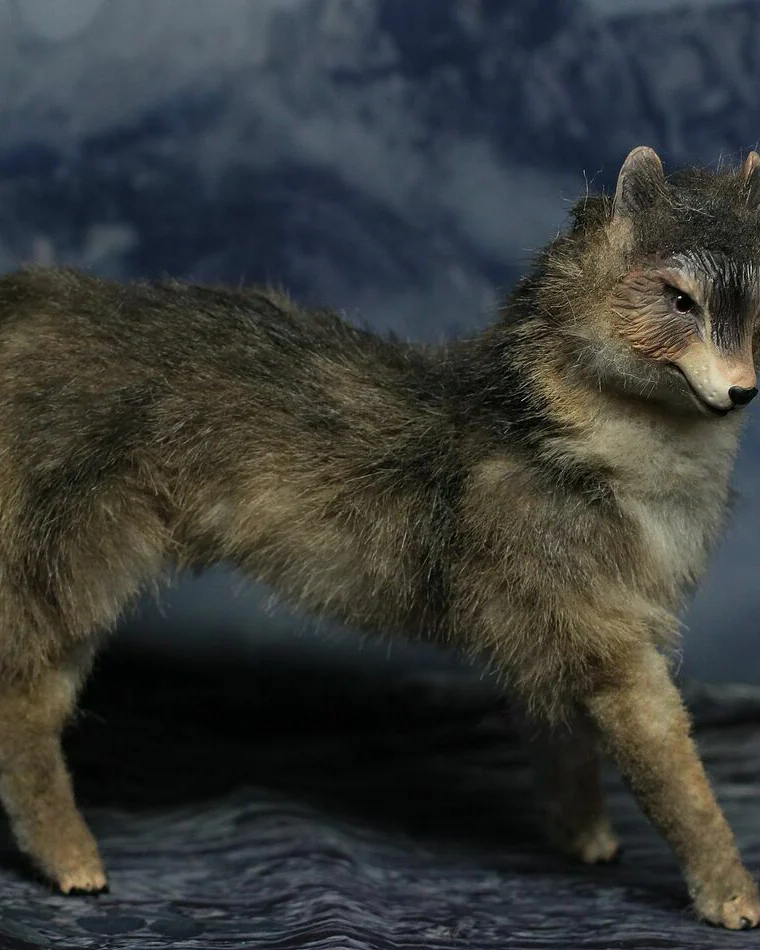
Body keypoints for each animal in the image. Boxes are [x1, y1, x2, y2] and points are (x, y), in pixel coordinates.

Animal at [0, 146, 756, 928]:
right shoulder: (607, 638)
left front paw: (583, 836)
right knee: (21, 716)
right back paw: (71, 861)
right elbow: (678, 780)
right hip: (68, 573)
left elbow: (564, 744)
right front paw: (731, 894)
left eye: (757, 299)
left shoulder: (551, 634)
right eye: (680, 299)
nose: (742, 390)